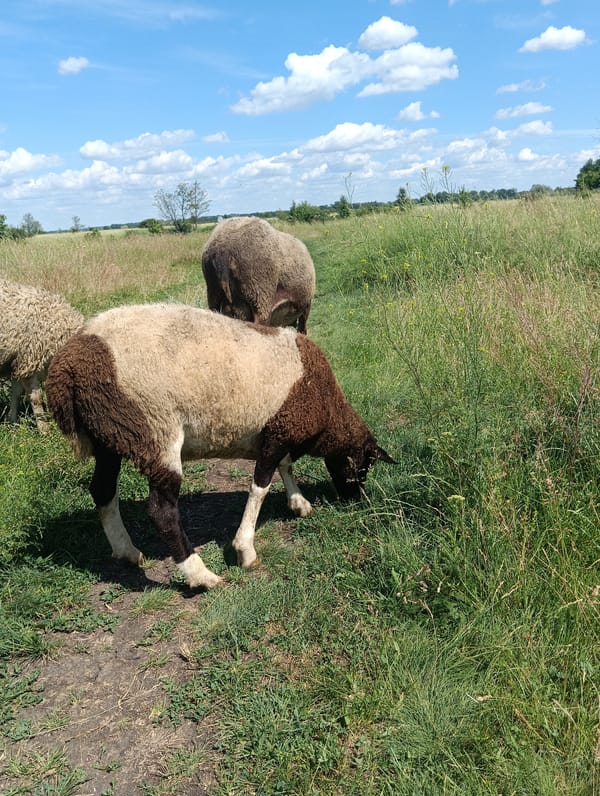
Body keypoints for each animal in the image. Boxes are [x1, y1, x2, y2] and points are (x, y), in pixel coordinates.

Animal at [0, 279, 84, 432]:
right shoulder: (29, 361)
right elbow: (36, 398)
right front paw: (44, 429)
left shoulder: (19, 362)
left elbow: (16, 394)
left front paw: (12, 422)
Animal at [46, 303, 395, 589]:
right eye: (364, 464)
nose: (355, 499)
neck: (329, 409)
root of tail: (67, 366)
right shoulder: (280, 430)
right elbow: (260, 487)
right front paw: (245, 550)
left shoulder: (277, 433)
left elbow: (284, 466)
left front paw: (299, 503)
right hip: (155, 430)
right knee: (161, 512)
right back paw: (200, 575)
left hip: (110, 435)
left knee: (102, 491)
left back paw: (127, 551)